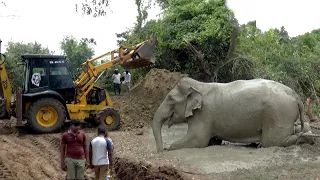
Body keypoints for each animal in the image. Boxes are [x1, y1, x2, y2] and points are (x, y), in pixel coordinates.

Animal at [151, 76, 314, 153]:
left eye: (170, 98)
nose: (160, 151)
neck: (199, 85)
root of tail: (295, 95)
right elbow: (211, 141)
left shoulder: (203, 114)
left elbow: (197, 141)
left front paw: (168, 148)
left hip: (277, 112)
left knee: (273, 141)